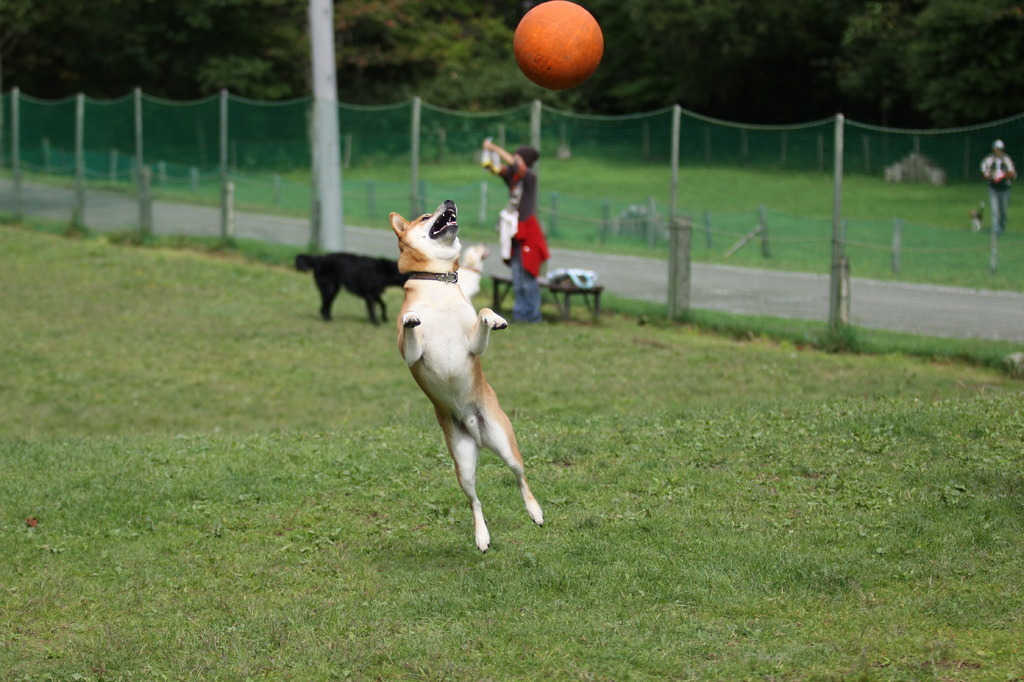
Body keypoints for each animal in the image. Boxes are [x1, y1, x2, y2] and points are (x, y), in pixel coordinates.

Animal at [389, 199, 544, 548]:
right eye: (424, 217)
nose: (449, 201)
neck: (438, 284)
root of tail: (477, 433)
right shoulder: (410, 355)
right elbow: (410, 327)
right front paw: (411, 318)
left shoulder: (474, 344)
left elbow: (483, 312)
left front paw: (495, 318)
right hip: (462, 464)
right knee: (475, 500)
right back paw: (481, 535)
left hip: (506, 445)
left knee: (520, 478)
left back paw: (535, 511)